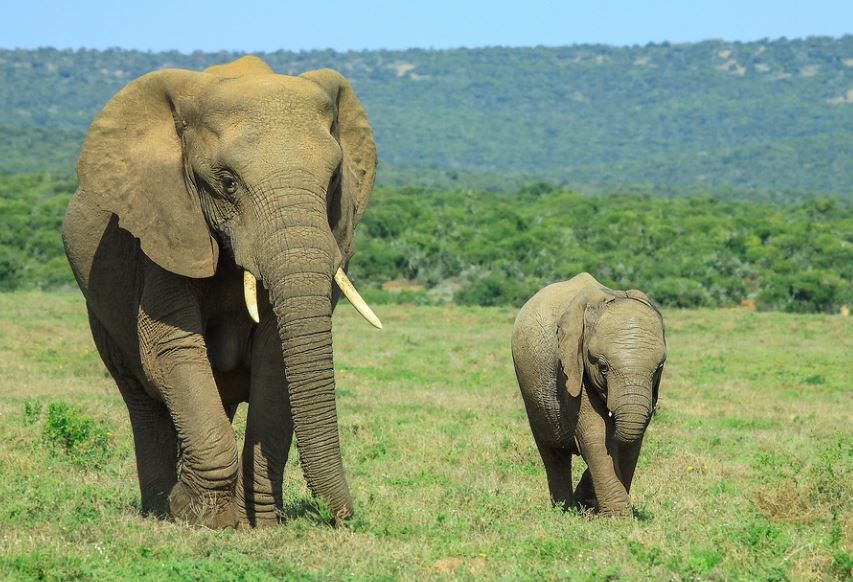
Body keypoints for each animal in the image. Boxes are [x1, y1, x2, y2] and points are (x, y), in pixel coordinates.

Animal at [62, 56, 382, 528]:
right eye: (228, 182)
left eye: (332, 182)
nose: (344, 516)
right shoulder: (167, 223)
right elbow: (171, 349)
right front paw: (198, 516)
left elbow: (276, 357)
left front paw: (258, 524)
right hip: (101, 315)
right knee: (143, 401)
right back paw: (158, 508)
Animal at [511, 273, 666, 516]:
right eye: (602, 367)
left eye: (659, 368)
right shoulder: (570, 366)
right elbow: (595, 434)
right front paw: (617, 517)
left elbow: (632, 442)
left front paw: (592, 504)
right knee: (552, 453)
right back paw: (565, 510)